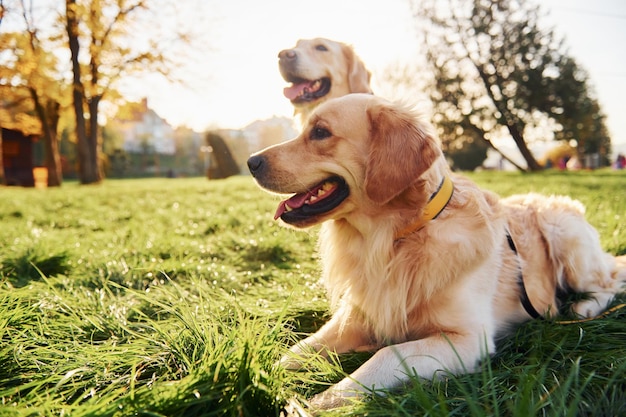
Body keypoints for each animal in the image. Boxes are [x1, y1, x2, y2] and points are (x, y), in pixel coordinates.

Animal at [246, 93, 620, 410]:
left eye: (321, 132)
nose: (251, 162)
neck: (394, 240)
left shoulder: (466, 339)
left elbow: (386, 355)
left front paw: (319, 401)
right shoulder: (355, 318)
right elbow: (299, 349)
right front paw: (262, 374)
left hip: (565, 236)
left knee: (614, 279)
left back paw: (584, 306)